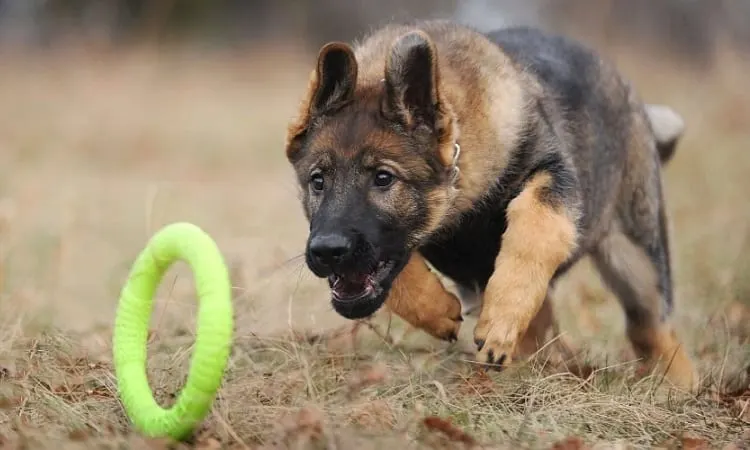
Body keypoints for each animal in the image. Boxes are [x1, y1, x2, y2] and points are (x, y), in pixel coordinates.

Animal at [284, 19, 700, 388]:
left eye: (383, 179)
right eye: (317, 181)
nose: (327, 251)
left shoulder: (554, 182)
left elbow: (532, 232)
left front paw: (500, 319)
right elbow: (400, 266)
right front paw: (436, 311)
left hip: (637, 259)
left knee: (651, 328)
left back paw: (677, 385)